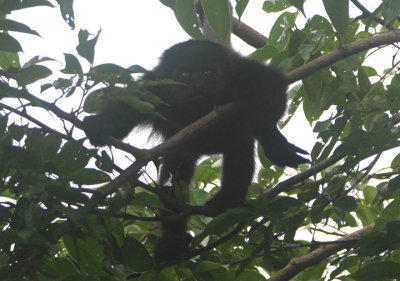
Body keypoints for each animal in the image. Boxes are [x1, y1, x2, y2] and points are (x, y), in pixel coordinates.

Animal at [80, 40, 306, 260]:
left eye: (208, 72)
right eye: (185, 74)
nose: (198, 85)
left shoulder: (240, 72)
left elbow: (270, 84)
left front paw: (273, 141)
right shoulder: (156, 87)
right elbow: (128, 108)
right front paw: (99, 126)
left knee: (238, 146)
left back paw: (226, 200)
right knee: (174, 173)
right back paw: (173, 240)